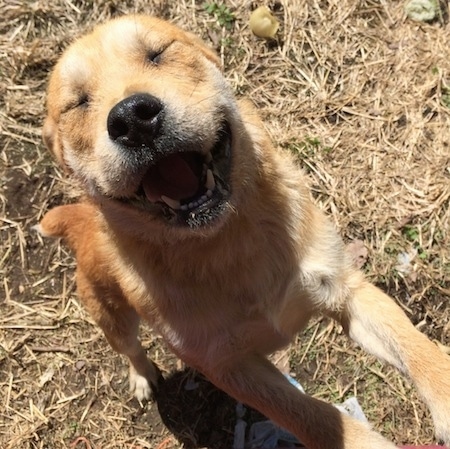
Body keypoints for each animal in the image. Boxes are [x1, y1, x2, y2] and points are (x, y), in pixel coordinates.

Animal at [37, 14, 450, 448]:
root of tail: (85, 220)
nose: (133, 119)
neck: (228, 241)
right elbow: (310, 415)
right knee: (130, 349)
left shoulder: (346, 289)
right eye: (78, 102)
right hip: (111, 317)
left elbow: (415, 345)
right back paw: (142, 376)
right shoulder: (230, 367)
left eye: (158, 53)